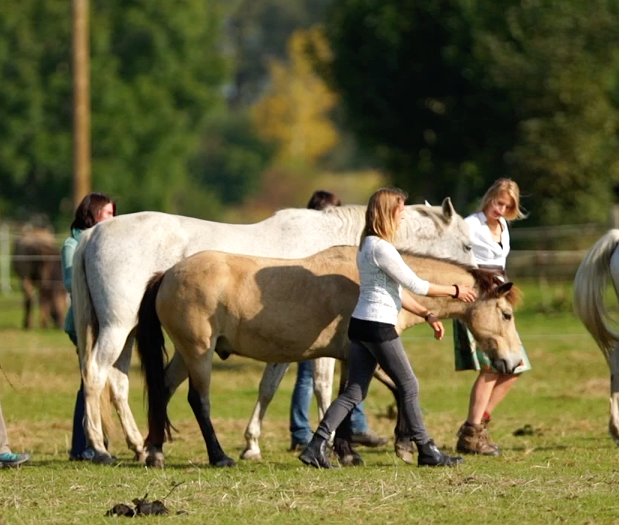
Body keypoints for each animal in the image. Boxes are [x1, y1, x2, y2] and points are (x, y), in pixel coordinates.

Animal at [74, 198, 480, 462]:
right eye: (467, 244)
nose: (485, 278)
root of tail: (93, 234)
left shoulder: (289, 346)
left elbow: (269, 388)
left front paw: (253, 443)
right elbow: (322, 389)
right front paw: (327, 444)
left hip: (129, 332)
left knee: (123, 383)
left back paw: (140, 445)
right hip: (118, 327)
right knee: (95, 375)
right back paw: (100, 447)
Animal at [136, 246, 524, 466]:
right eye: (506, 315)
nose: (513, 363)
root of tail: (168, 274)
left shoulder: (359, 356)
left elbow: (381, 391)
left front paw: (398, 446)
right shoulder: (361, 353)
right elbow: (355, 397)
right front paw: (351, 452)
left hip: (185, 354)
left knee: (163, 390)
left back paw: (154, 452)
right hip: (198, 353)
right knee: (198, 400)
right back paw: (219, 457)